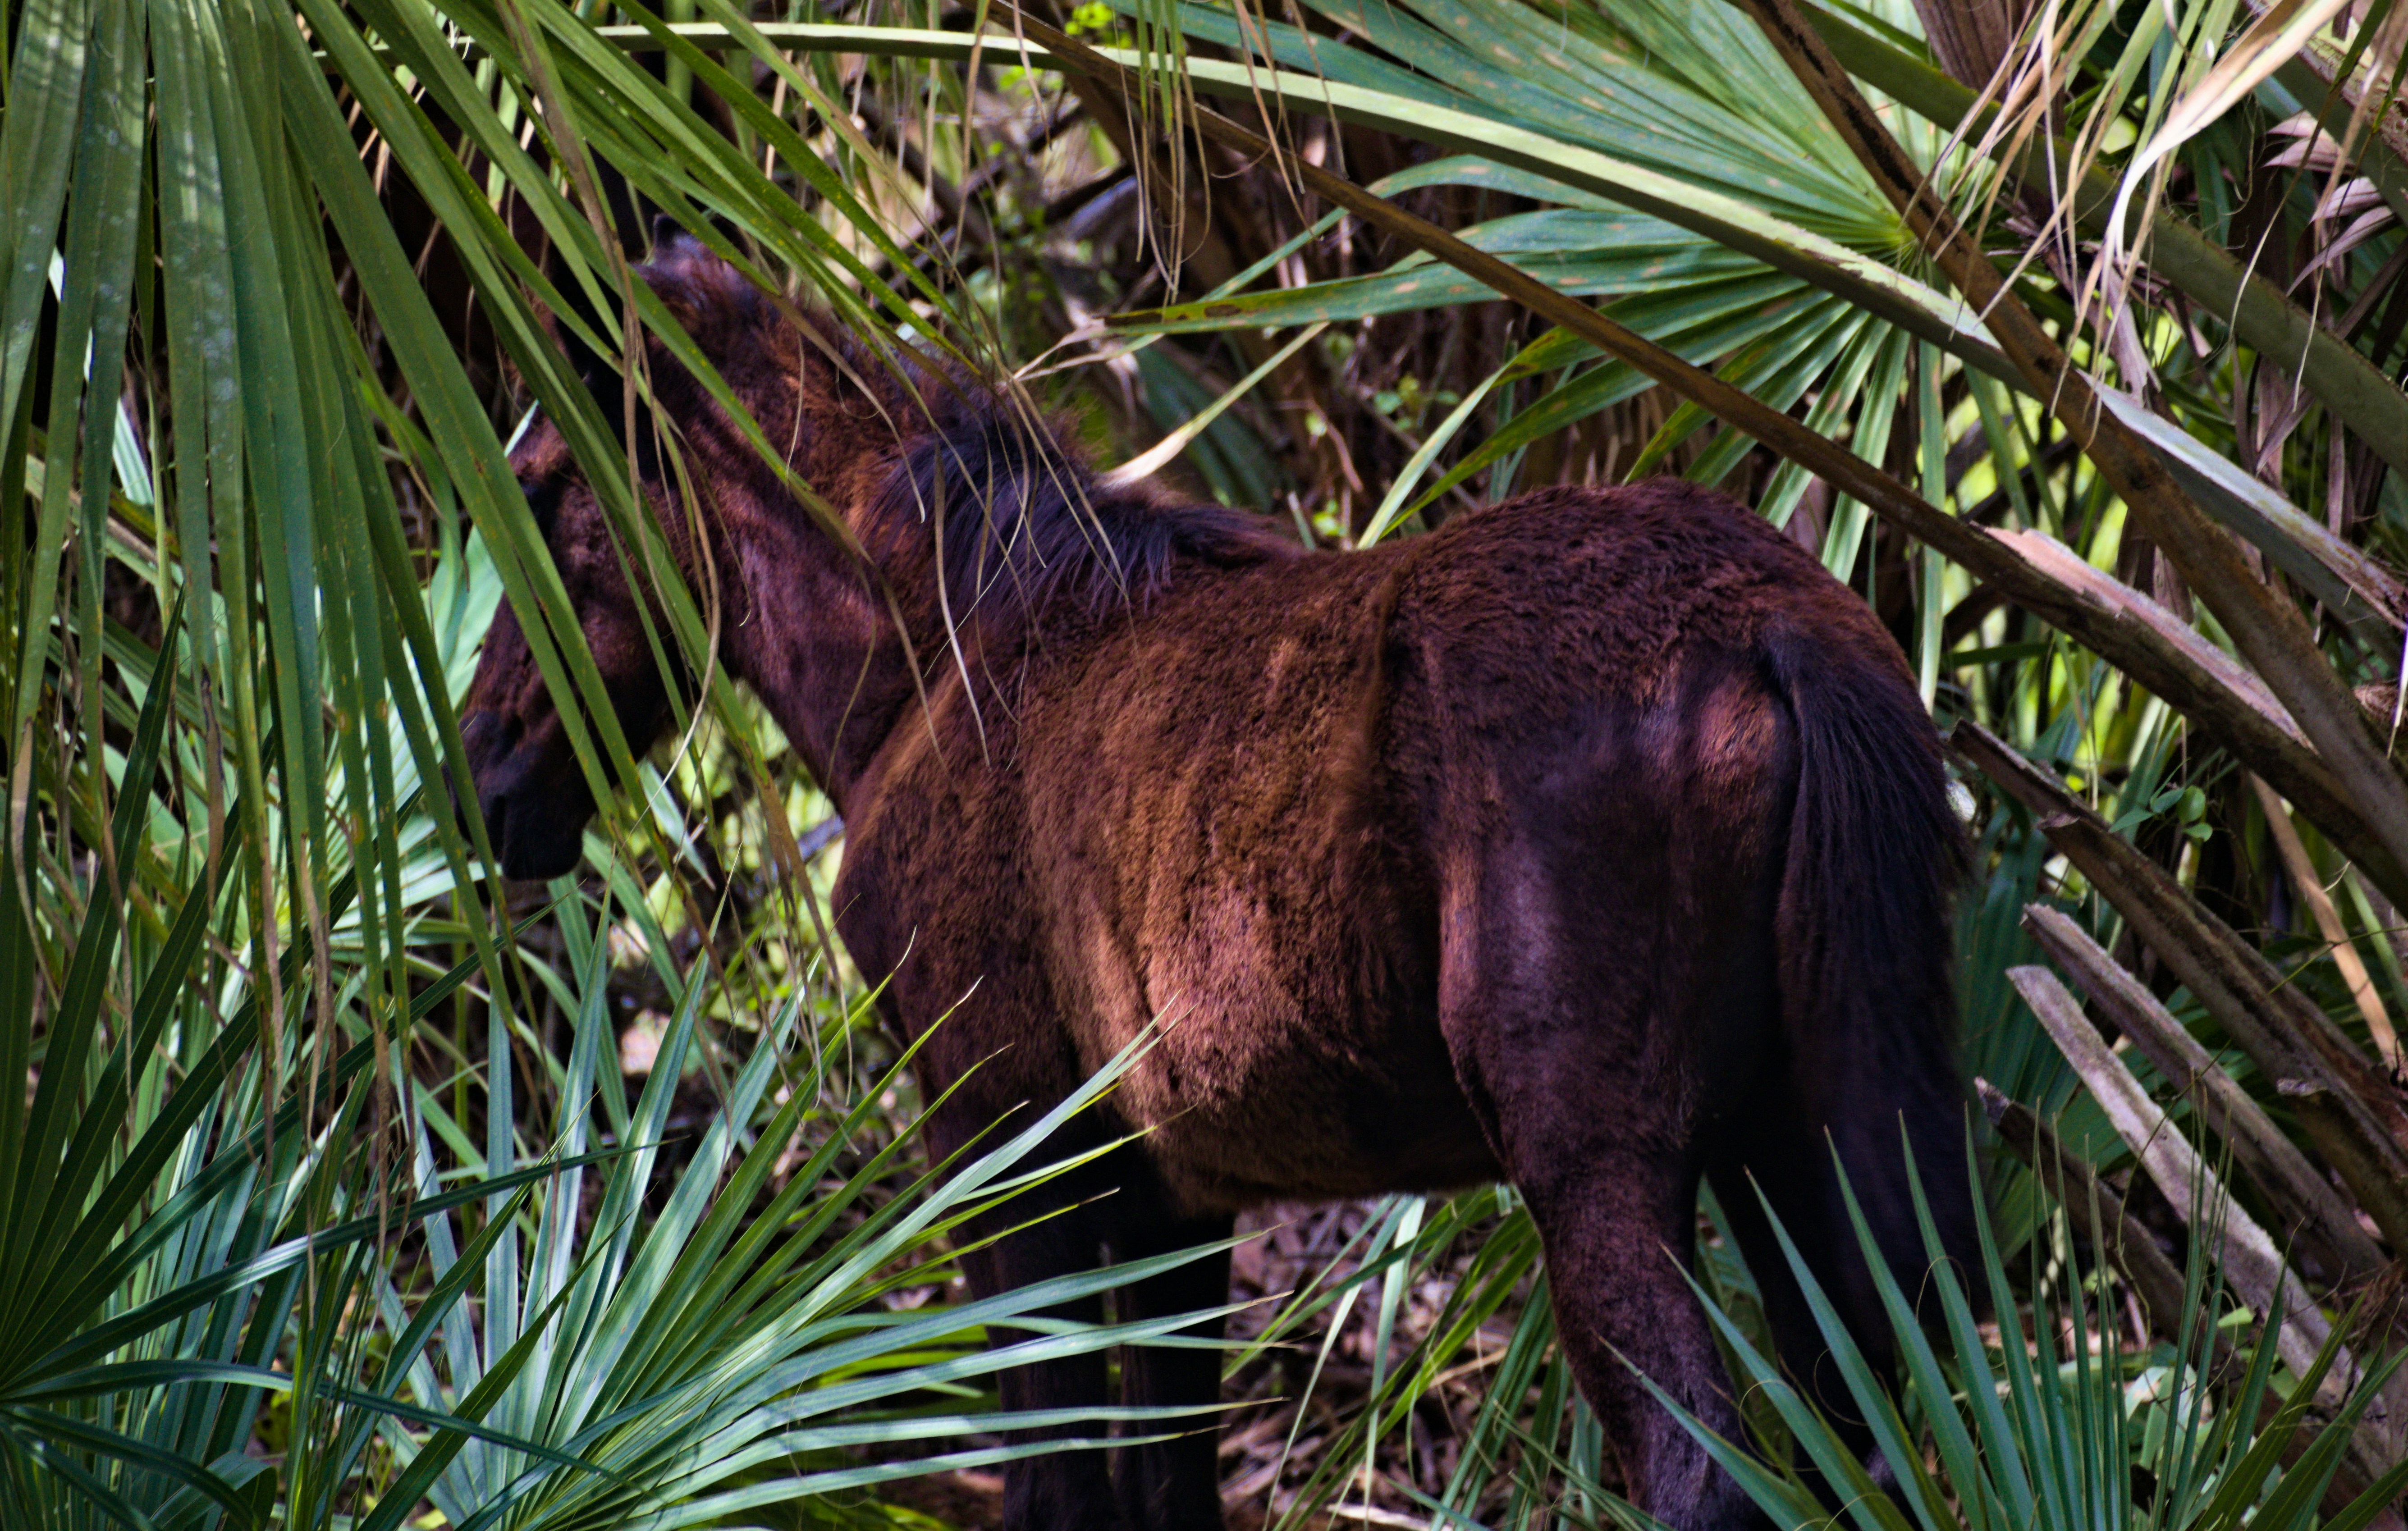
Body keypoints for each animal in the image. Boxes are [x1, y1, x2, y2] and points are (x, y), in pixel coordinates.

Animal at [460, 231, 1977, 1531]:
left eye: (536, 482)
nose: (482, 772)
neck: (948, 661)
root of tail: (1766, 627)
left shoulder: (1009, 1153)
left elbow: (1055, 1484)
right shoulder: (1171, 1199)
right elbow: (1160, 1483)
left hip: (1607, 1173)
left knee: (1702, 1471)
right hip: (1799, 1146)